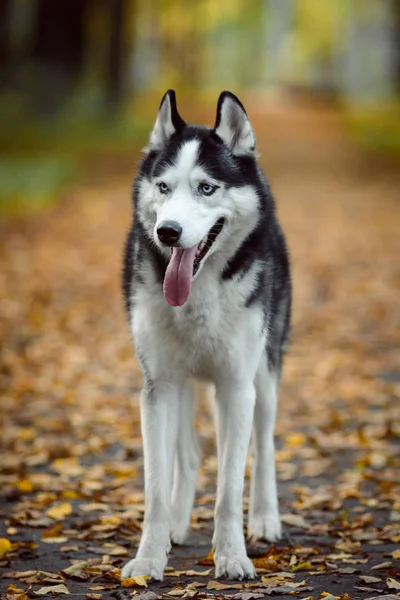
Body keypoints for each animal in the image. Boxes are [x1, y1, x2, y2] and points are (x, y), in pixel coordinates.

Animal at [121, 90, 290, 580]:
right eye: (163, 188)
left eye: (206, 188)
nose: (167, 232)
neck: (197, 294)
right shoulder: (158, 387)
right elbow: (156, 487)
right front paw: (149, 557)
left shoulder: (235, 387)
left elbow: (229, 489)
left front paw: (232, 556)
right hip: (181, 386)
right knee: (189, 454)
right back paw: (177, 526)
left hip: (264, 376)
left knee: (264, 445)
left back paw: (265, 518)